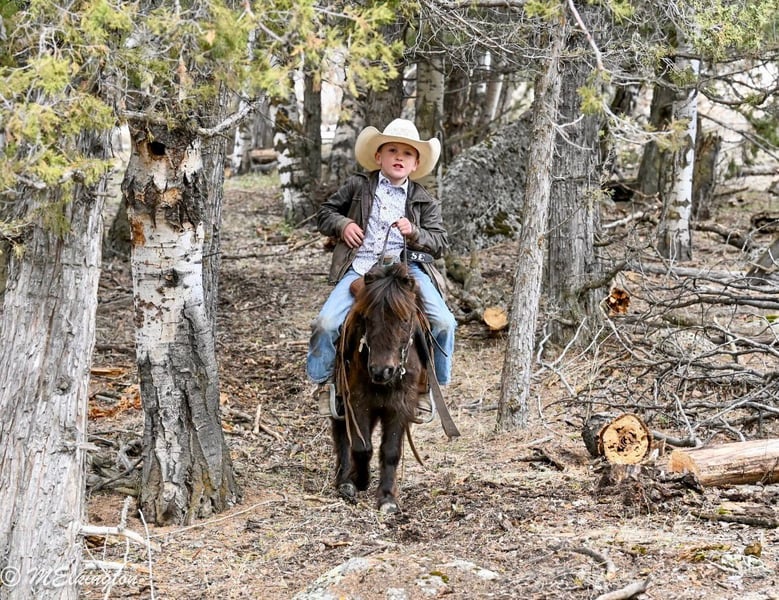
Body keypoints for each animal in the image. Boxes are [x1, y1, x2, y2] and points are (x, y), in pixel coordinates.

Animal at [332, 260, 432, 514]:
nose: (381, 371)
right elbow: (361, 446)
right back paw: (344, 481)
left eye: (405, 320)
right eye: (366, 319)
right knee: (342, 433)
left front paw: (387, 498)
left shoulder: (401, 405)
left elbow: (390, 451)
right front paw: (359, 480)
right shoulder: (356, 399)